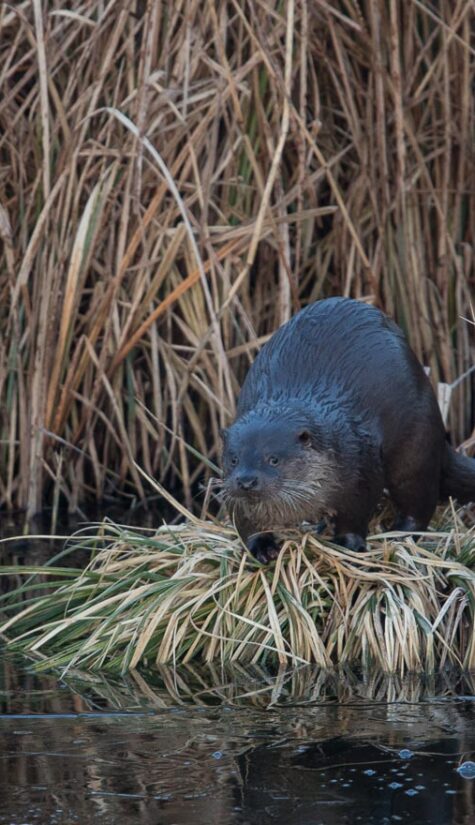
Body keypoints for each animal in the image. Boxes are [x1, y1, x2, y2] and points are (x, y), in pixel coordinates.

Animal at [222, 298, 475, 563]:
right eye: (234, 459)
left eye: (273, 459)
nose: (246, 480)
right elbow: (246, 523)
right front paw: (261, 546)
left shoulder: (360, 468)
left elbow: (355, 515)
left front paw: (348, 544)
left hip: (417, 444)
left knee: (419, 498)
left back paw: (400, 533)